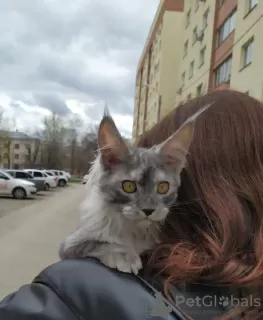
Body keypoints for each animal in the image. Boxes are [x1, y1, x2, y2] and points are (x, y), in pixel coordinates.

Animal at [58, 105, 211, 276]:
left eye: (163, 187)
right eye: (129, 186)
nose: (148, 210)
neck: (135, 232)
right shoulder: (70, 244)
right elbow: (100, 242)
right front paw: (124, 255)